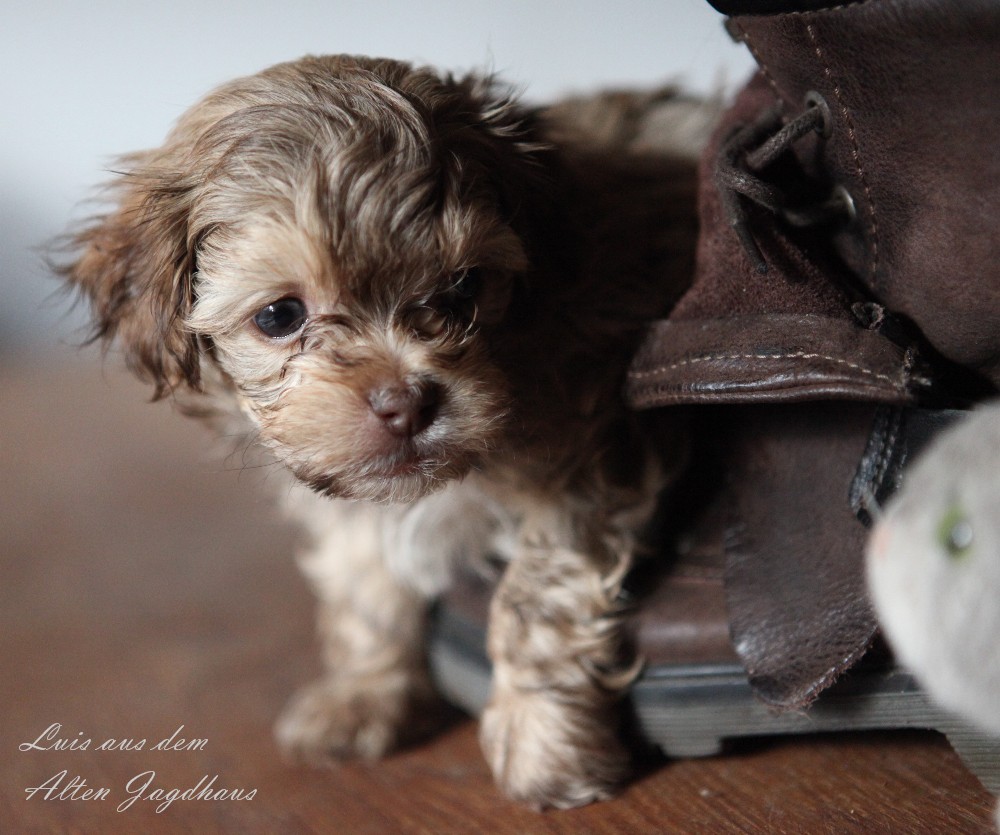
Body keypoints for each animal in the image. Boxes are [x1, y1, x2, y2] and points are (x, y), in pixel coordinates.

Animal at [60, 57, 704, 808]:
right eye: (279, 315)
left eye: (464, 288)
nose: (406, 402)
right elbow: (363, 580)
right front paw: (365, 694)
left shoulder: (591, 447)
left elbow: (533, 598)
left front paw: (543, 742)